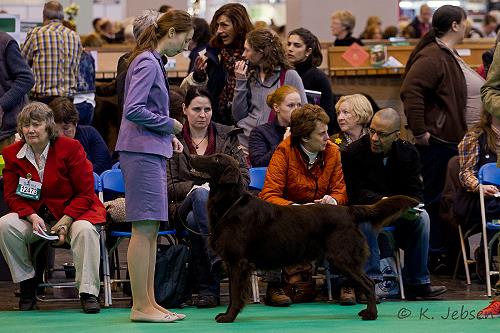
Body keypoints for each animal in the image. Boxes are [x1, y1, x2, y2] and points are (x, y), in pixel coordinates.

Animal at [190, 153, 418, 322]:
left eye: (216, 159)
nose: (191, 155)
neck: (231, 204)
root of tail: (349, 210)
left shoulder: (238, 261)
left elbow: (235, 292)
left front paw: (228, 317)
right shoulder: (232, 262)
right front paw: (227, 314)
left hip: (342, 258)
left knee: (369, 283)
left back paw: (371, 314)